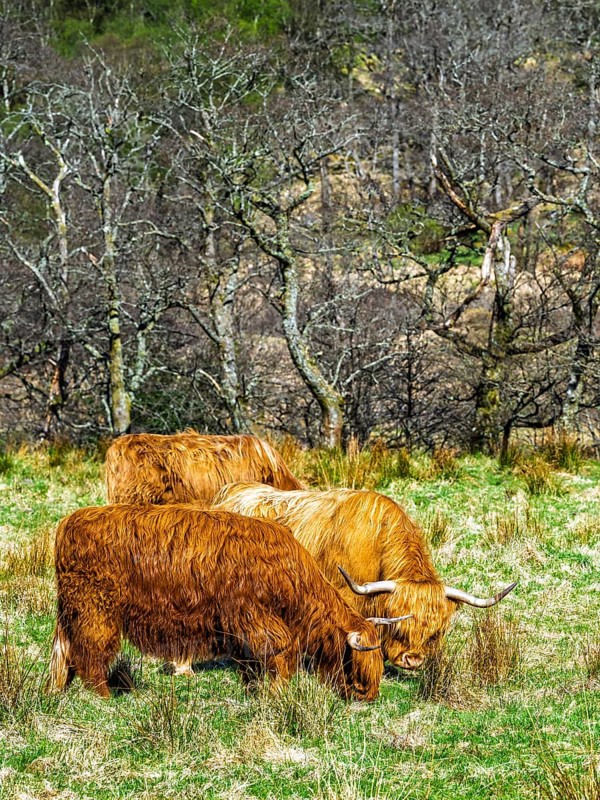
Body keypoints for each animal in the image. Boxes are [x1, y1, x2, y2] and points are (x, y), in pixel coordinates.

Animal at [48, 504, 409, 700]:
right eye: (354, 667)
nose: (367, 697)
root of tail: (70, 522)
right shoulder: (253, 616)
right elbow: (283, 652)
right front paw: (279, 695)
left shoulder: (241, 631)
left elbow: (252, 664)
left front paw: (256, 691)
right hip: (97, 610)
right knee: (92, 652)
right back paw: (105, 697)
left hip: (71, 610)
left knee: (63, 650)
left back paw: (58, 690)